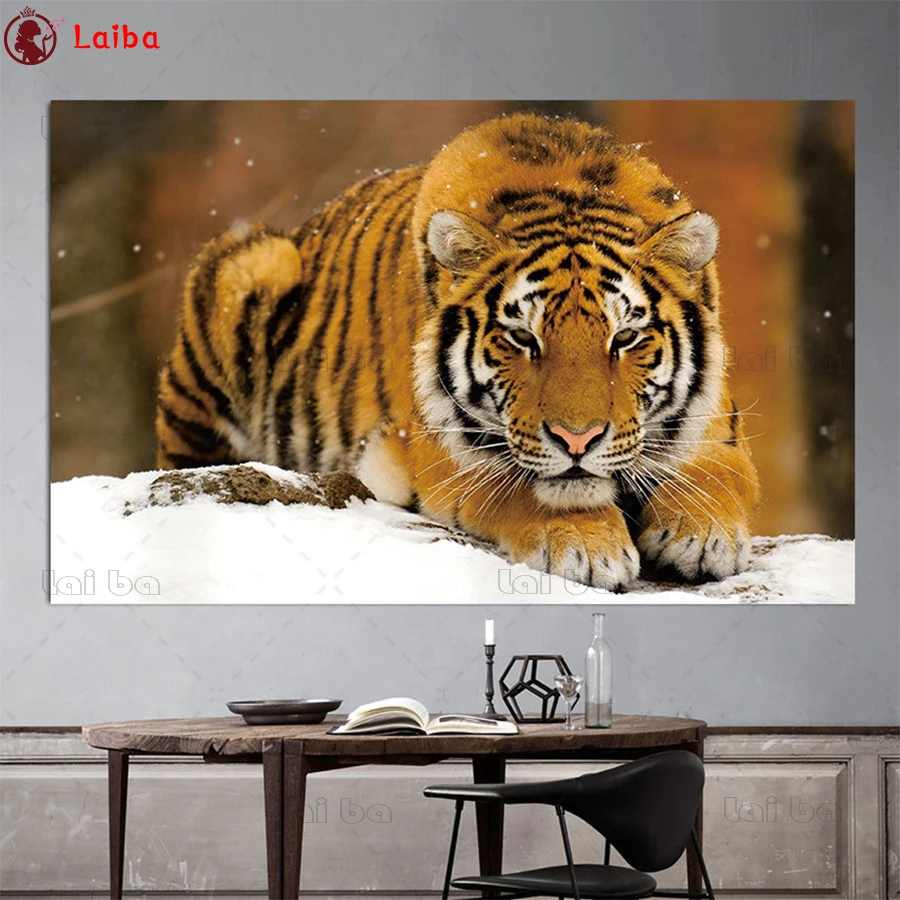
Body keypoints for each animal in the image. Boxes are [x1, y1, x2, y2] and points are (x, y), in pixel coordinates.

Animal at [156, 112, 759, 591]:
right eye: (523, 338)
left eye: (624, 338)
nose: (577, 440)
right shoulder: (438, 446)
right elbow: (522, 485)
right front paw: (585, 545)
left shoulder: (717, 426)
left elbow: (717, 473)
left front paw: (701, 534)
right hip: (251, 266)